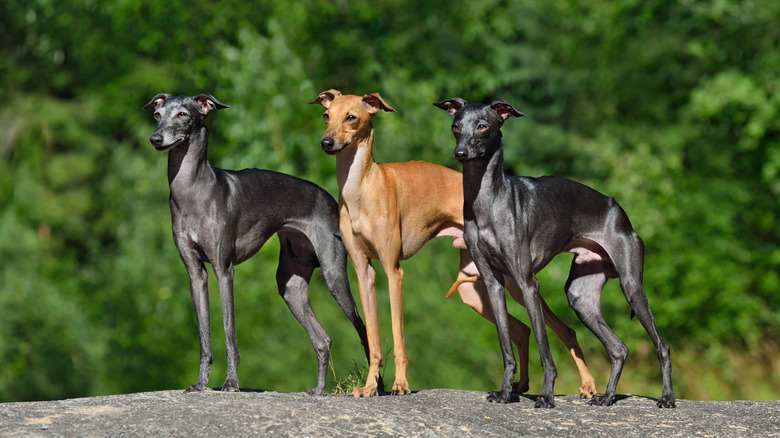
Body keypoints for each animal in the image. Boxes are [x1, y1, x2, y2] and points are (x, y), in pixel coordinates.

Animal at [145, 92, 370, 394]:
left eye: (183, 114)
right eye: (157, 115)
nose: (156, 139)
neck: (194, 190)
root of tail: (331, 199)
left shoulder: (224, 270)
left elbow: (229, 331)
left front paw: (231, 382)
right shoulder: (195, 273)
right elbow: (204, 334)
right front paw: (201, 383)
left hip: (334, 274)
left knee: (363, 329)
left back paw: (376, 386)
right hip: (290, 285)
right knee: (323, 339)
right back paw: (318, 390)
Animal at [436, 98, 672, 408]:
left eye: (483, 126)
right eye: (455, 126)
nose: (460, 153)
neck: (489, 201)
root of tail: (617, 209)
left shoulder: (527, 283)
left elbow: (543, 346)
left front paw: (546, 395)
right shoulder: (493, 282)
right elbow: (505, 344)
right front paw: (504, 392)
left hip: (631, 285)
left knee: (662, 345)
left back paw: (667, 397)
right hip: (580, 296)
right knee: (619, 348)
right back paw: (607, 397)